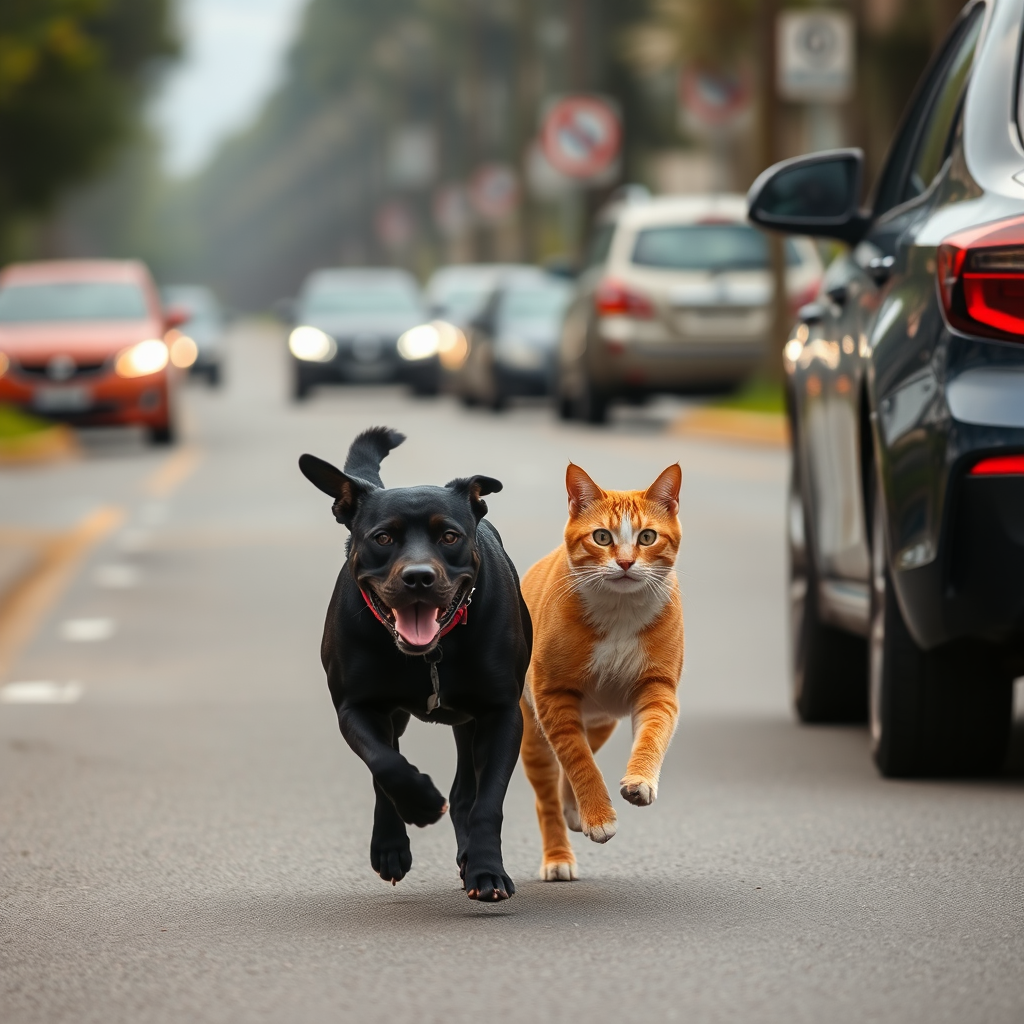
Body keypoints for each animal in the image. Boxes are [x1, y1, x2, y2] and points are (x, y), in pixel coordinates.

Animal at [299, 428, 532, 901]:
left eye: (450, 537)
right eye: (383, 538)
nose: (419, 577)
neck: (431, 655)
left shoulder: (501, 713)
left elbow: (488, 802)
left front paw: (487, 870)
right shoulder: (356, 706)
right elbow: (385, 764)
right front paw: (418, 806)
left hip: (469, 721)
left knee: (466, 794)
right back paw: (392, 844)